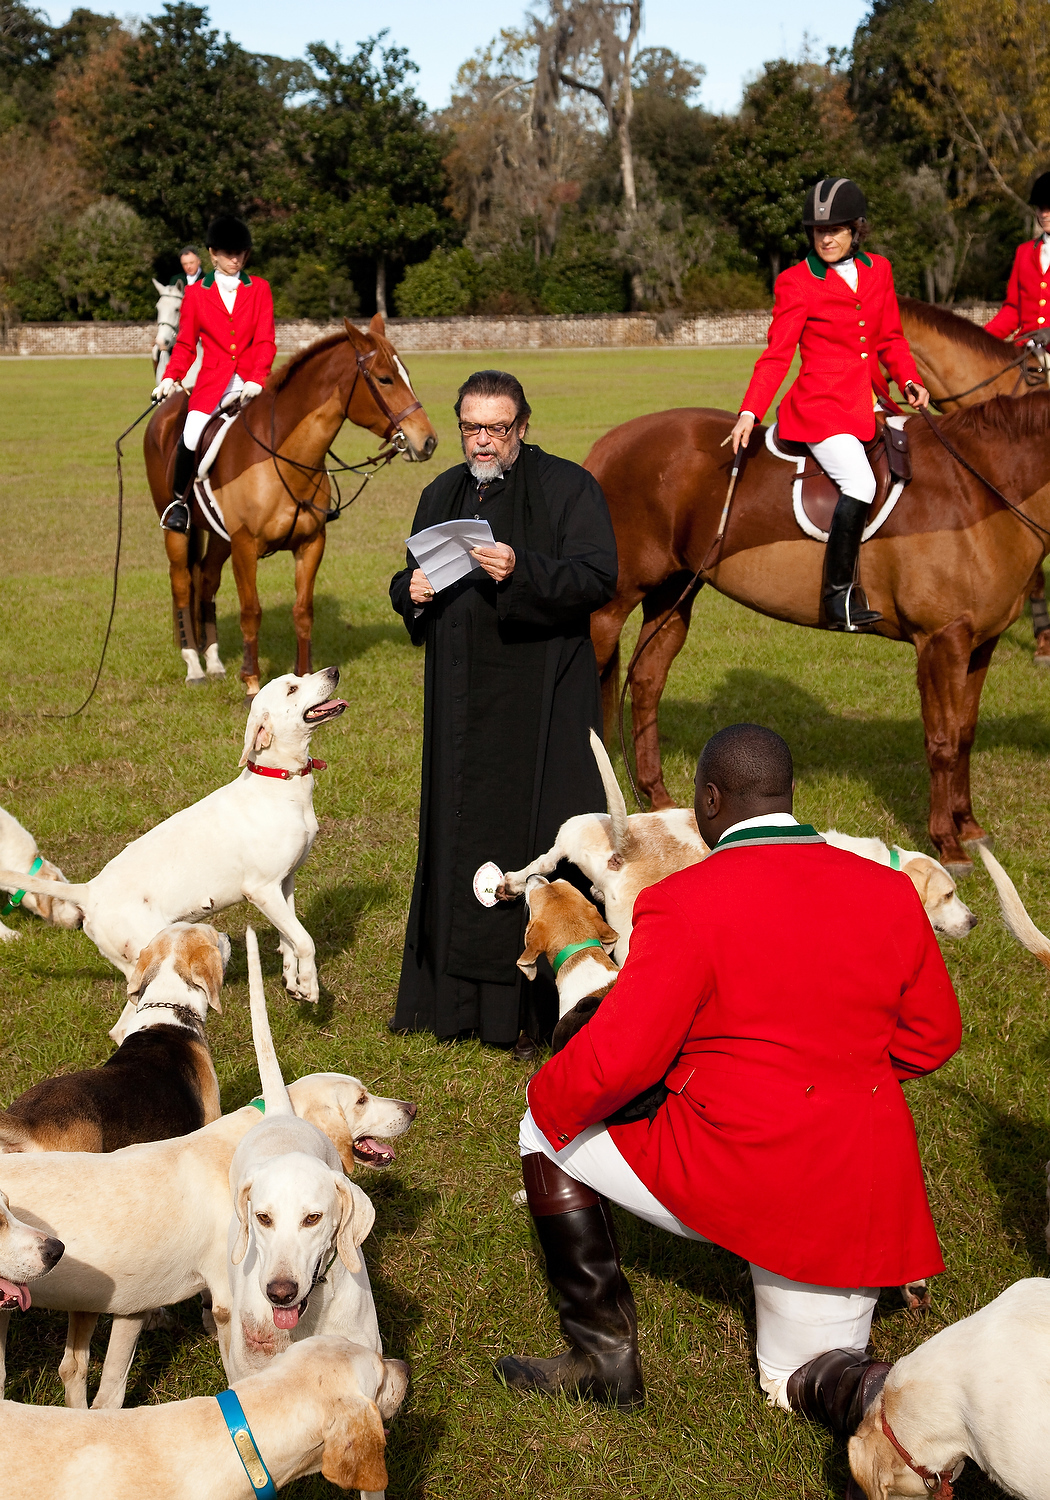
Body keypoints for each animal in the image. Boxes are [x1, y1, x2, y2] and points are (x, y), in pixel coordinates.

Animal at [143, 315, 435, 696]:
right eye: (385, 378)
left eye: (408, 375)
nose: (427, 441)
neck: (285, 457)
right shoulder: (245, 546)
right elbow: (251, 611)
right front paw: (251, 681)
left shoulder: (310, 544)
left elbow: (303, 611)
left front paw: (306, 677)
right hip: (179, 533)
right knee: (181, 583)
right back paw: (194, 664)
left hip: (220, 538)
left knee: (205, 581)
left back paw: (214, 661)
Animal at [588, 393, 1050, 876]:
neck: (975, 489)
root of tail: (609, 443)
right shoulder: (942, 641)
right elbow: (942, 742)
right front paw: (949, 844)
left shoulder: (980, 643)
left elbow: (965, 734)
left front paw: (971, 828)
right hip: (612, 604)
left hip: (674, 592)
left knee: (646, 681)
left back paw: (657, 798)